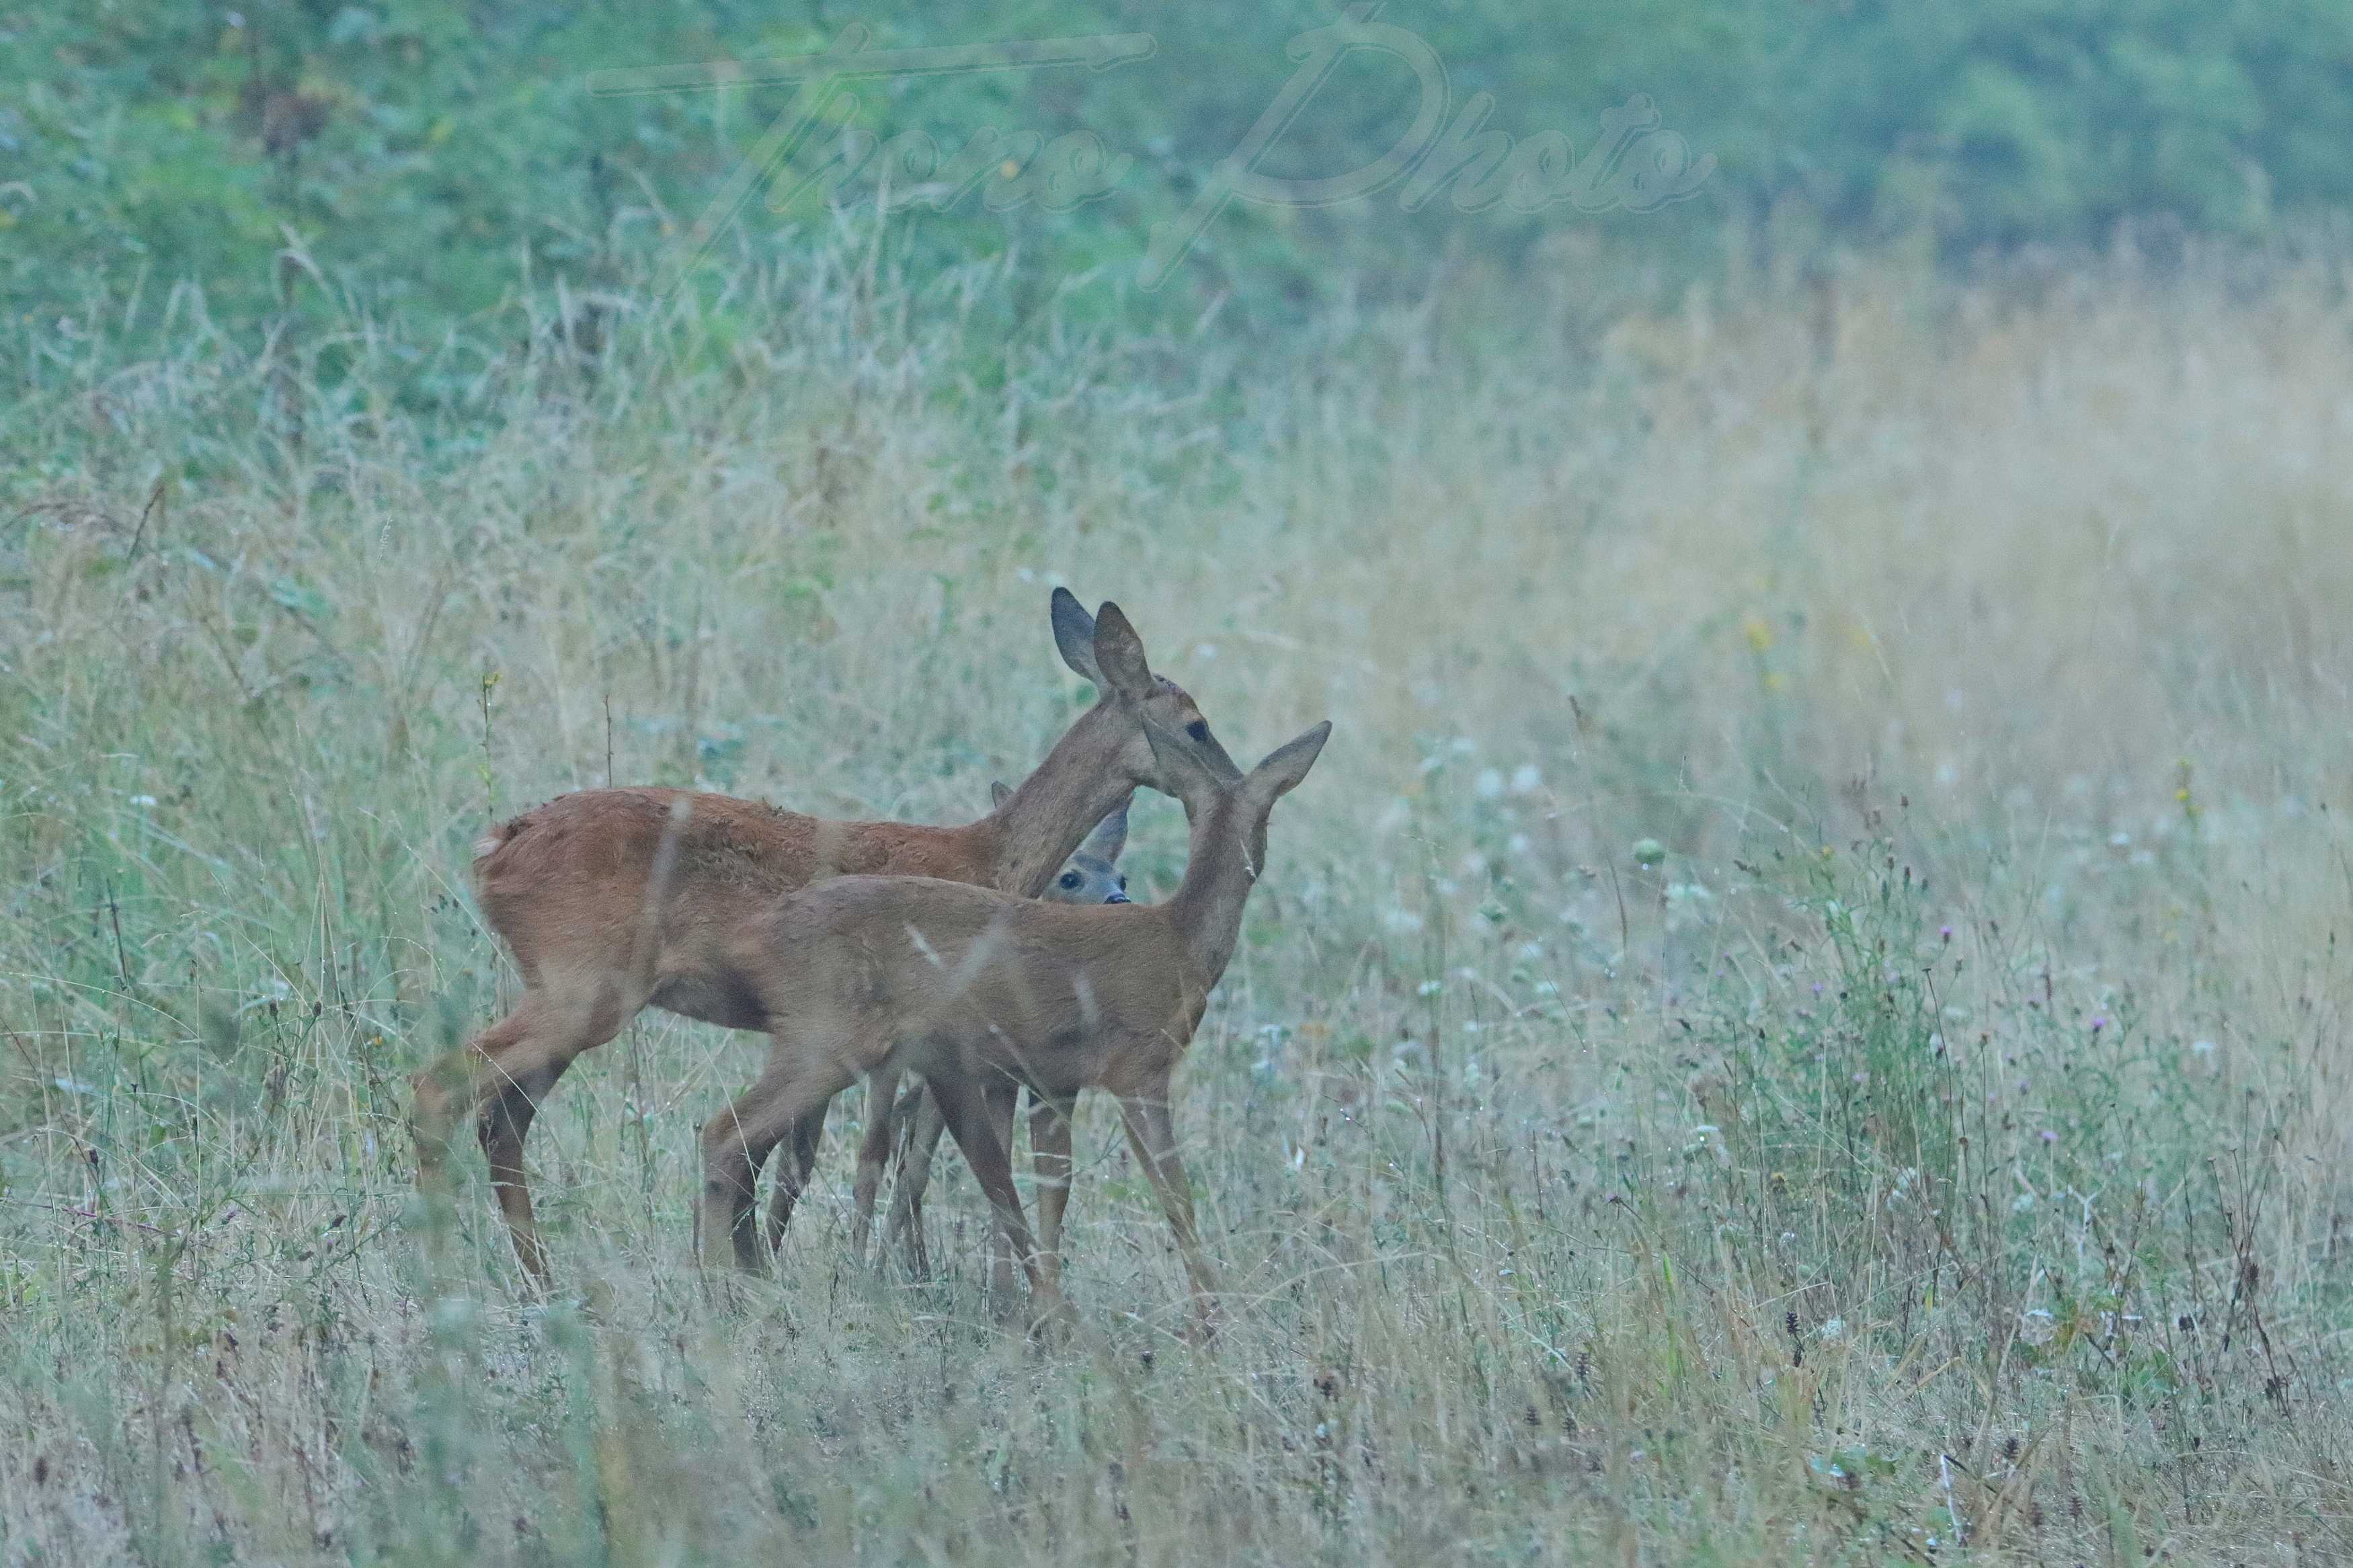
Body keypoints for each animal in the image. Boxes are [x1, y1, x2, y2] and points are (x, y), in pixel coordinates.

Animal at [416, 587, 1252, 1288]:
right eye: (1195, 722)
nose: (1233, 784)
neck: (988, 855)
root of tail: (494, 850)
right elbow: (895, 1157)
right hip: (583, 986)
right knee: (445, 1087)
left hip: (568, 993)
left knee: (502, 1117)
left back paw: (539, 1277)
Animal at [692, 719, 1327, 1335]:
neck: (1178, 939)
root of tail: (761, 933)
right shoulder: (1138, 1068)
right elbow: (1174, 1192)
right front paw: (1211, 1321)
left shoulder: (1052, 1080)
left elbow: (1046, 1189)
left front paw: (1026, 1312)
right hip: (834, 1041)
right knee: (746, 1135)